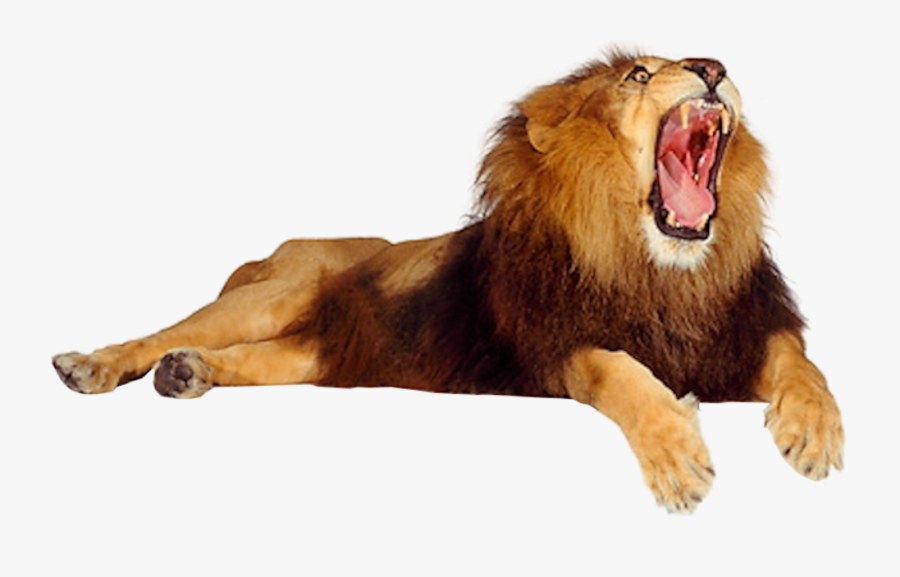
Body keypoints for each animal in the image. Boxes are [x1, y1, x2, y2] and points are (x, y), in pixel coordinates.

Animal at [52, 52, 844, 513]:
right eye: (638, 76)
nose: (710, 66)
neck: (660, 269)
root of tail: (276, 248)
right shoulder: (556, 347)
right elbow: (617, 372)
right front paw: (677, 456)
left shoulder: (740, 332)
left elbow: (802, 364)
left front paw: (813, 431)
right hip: (271, 295)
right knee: (164, 331)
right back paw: (93, 364)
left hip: (315, 352)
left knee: (243, 357)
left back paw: (186, 373)